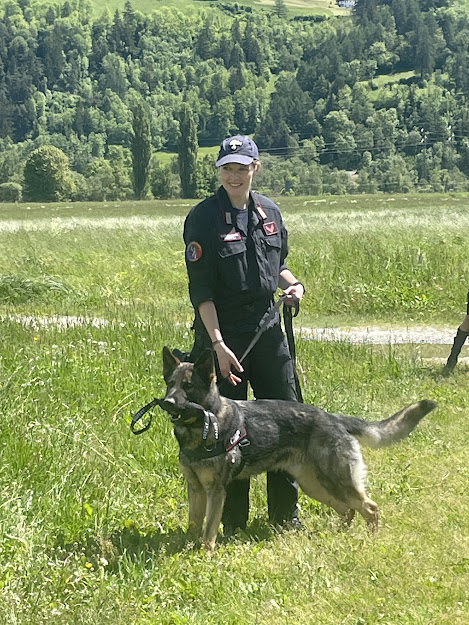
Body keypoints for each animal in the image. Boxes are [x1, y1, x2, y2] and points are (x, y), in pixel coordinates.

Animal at [160, 345, 437, 551]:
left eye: (188, 386)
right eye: (170, 383)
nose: (166, 402)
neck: (204, 424)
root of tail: (334, 418)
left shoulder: (216, 491)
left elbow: (208, 528)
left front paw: (205, 553)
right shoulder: (196, 489)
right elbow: (194, 523)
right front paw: (187, 548)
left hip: (336, 481)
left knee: (370, 507)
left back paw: (371, 540)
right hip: (314, 485)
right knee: (348, 509)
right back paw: (339, 536)